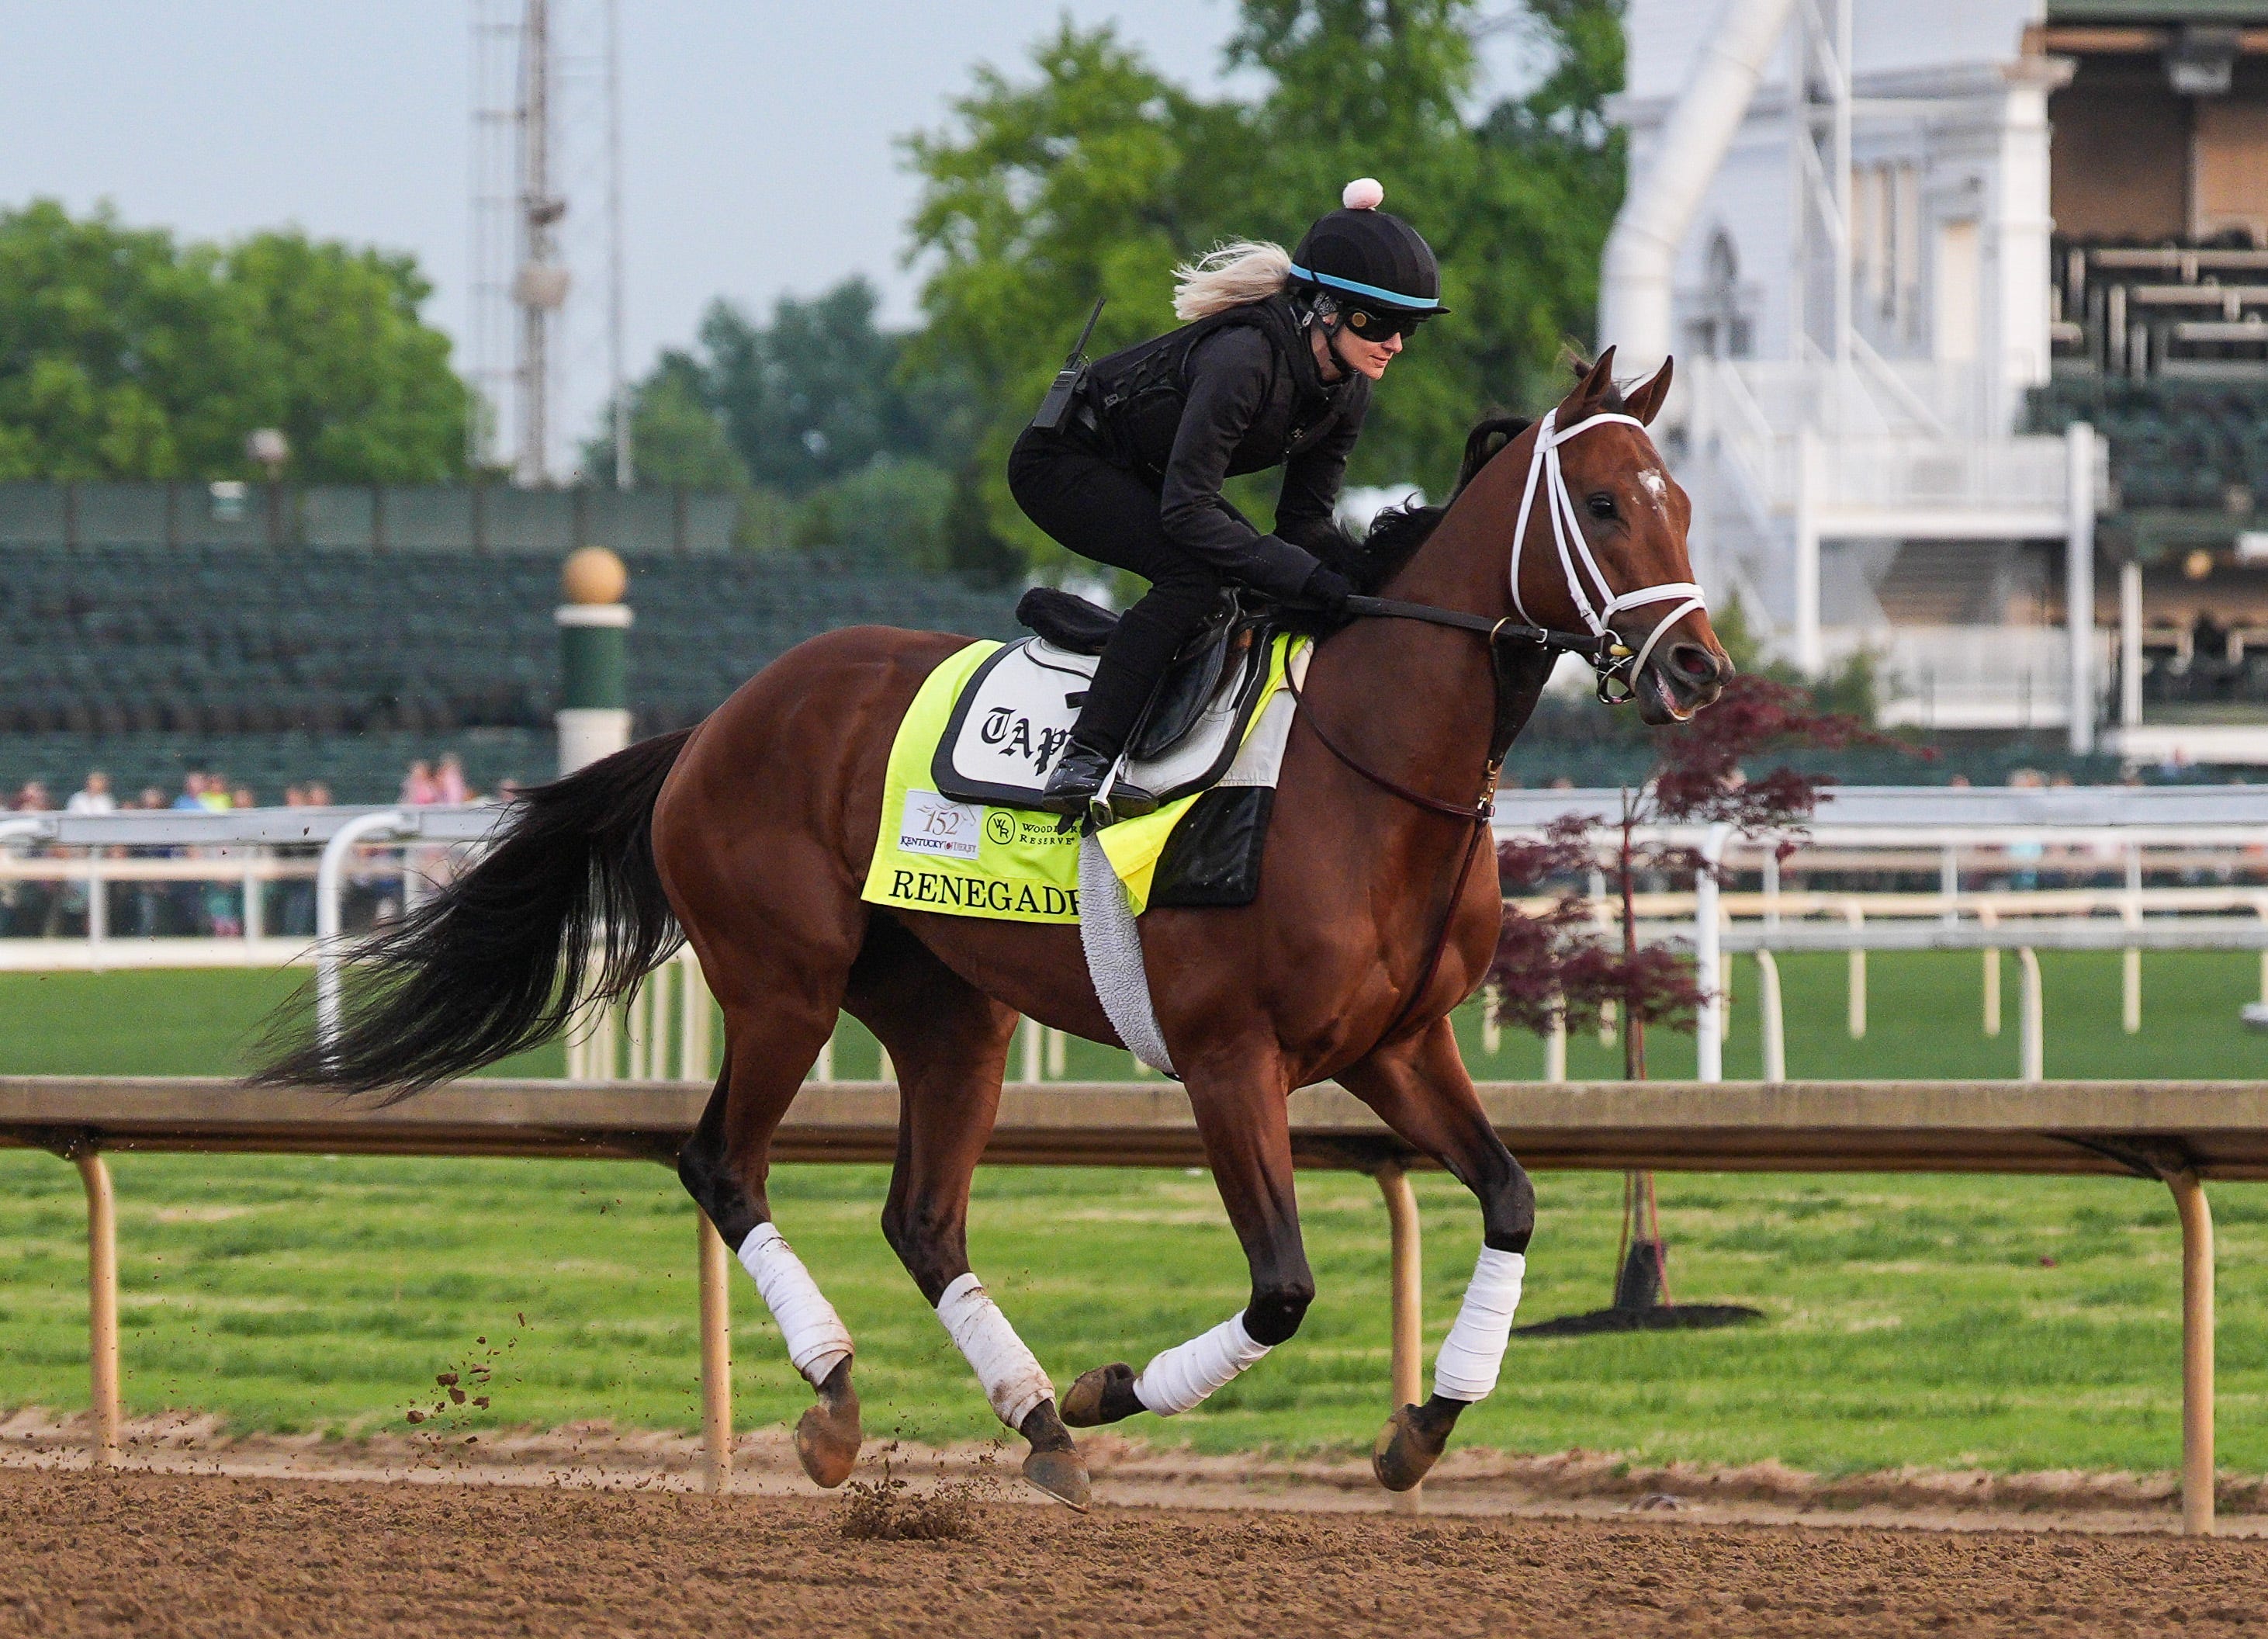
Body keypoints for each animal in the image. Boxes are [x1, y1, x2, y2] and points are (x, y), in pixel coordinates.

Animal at [266, 347, 1728, 1509]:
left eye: (1682, 504)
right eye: (1604, 505)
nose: (1698, 667)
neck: (1356, 769)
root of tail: (712, 723)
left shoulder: (1396, 1046)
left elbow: (1510, 1198)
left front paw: (1419, 1428)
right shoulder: (1226, 1061)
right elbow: (1281, 1289)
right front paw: (1105, 1389)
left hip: (946, 1012)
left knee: (922, 1219)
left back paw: (1029, 1419)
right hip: (784, 986)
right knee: (721, 1165)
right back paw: (844, 1402)